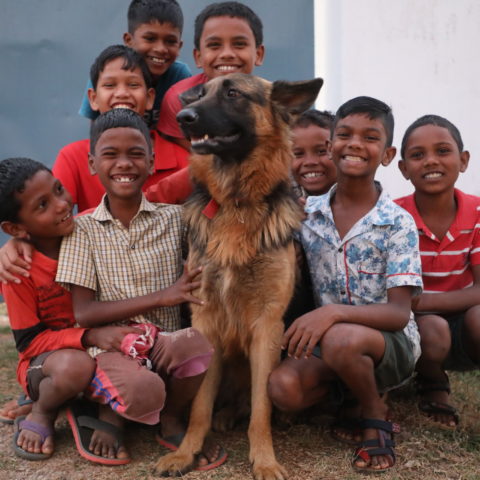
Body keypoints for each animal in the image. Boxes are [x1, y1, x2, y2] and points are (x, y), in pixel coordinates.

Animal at [156, 73, 322, 478]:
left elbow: (261, 407)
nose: (183, 118)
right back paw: (225, 415)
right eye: (200, 94)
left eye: (233, 93)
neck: (236, 201)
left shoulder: (267, 326)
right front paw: (186, 453)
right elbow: (200, 404)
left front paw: (264, 459)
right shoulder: (206, 320)